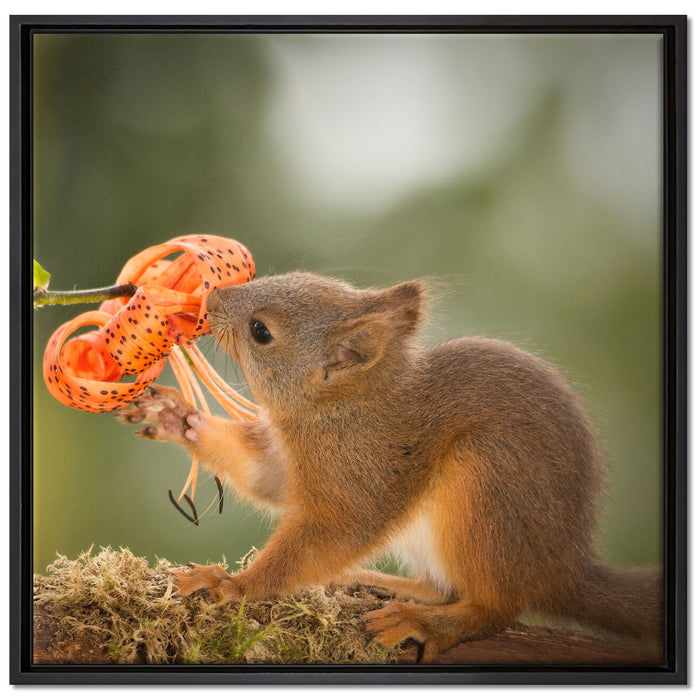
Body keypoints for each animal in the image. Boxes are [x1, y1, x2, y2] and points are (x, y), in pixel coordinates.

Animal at [122, 271, 663, 662]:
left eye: (261, 332)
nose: (209, 300)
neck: (342, 409)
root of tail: (563, 571)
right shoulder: (292, 463)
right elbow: (265, 479)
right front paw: (177, 417)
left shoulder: (362, 473)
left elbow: (330, 534)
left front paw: (232, 586)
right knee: (439, 586)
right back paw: (376, 583)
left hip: (486, 485)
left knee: (493, 607)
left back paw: (425, 621)